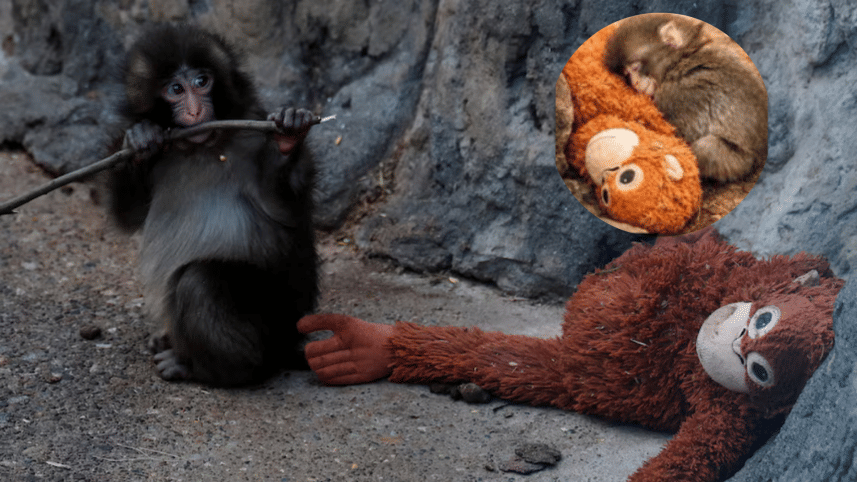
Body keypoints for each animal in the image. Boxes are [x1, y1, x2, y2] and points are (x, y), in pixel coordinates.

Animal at [108, 24, 319, 386]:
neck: (203, 147)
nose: (195, 111)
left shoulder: (252, 132)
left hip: (275, 313)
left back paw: (211, 368)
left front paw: (287, 139)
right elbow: (128, 215)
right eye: (175, 89)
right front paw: (139, 140)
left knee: (199, 280)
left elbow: (285, 211)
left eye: (202, 81)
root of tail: (289, 339)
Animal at [605, 13, 768, 182]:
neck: (681, 59)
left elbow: (678, 133)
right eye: (627, 74)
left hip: (737, 163)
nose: (635, 82)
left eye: (635, 68)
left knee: (707, 146)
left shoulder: (677, 93)